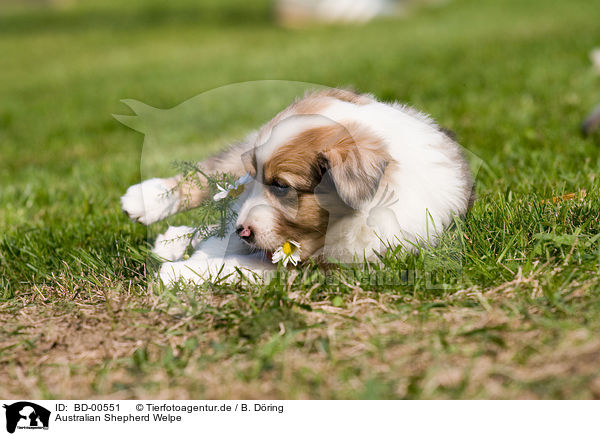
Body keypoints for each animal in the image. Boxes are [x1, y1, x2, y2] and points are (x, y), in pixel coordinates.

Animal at [120, 90, 474, 284]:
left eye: (282, 186)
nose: (243, 231)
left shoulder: (324, 267)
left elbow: (237, 265)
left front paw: (178, 273)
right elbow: (225, 243)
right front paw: (184, 265)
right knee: (216, 183)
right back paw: (148, 201)